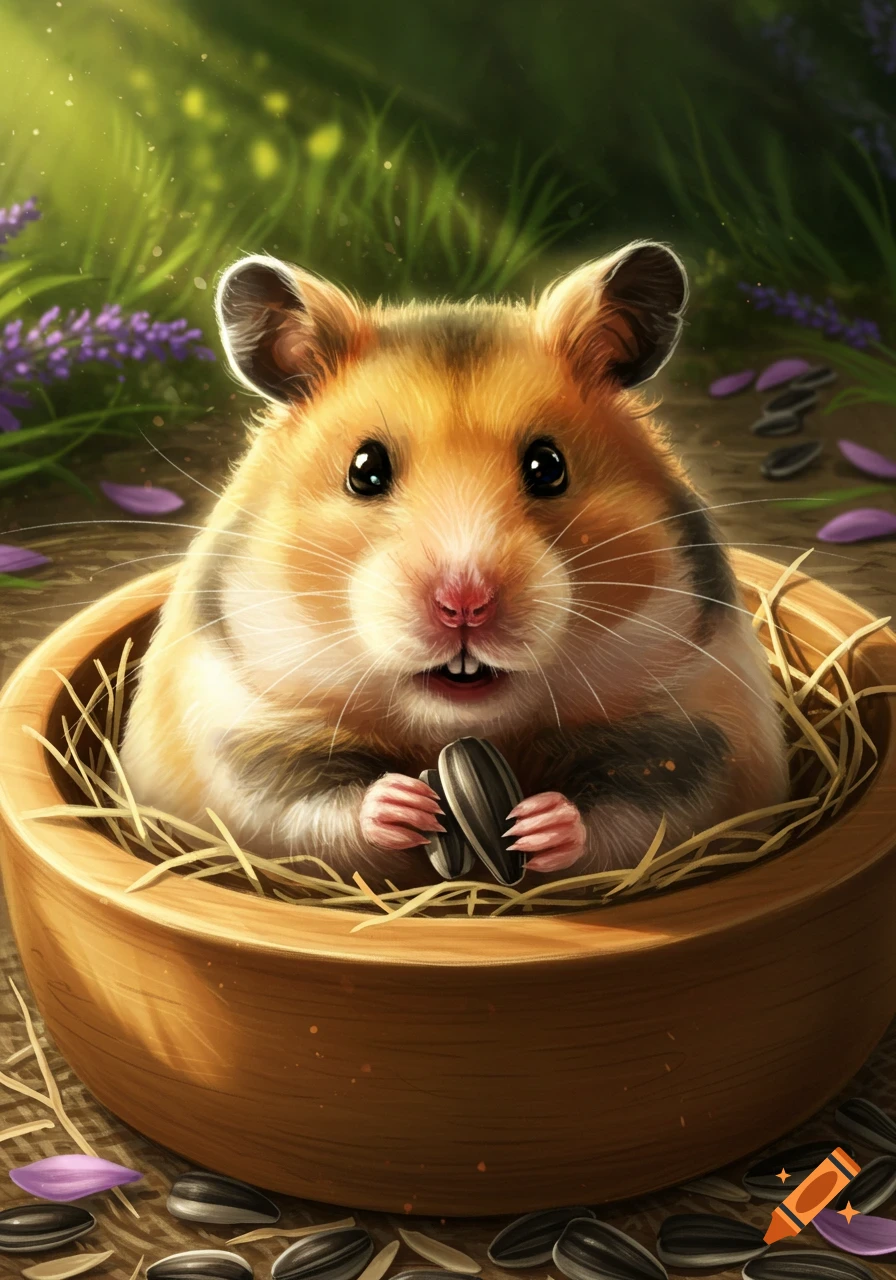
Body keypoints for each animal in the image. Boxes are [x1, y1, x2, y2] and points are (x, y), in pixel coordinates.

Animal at [119, 240, 789, 887]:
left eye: (549, 466)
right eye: (365, 470)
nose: (464, 604)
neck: (456, 727)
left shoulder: (694, 740)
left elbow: (639, 816)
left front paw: (542, 824)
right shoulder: (239, 738)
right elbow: (304, 811)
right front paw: (402, 806)